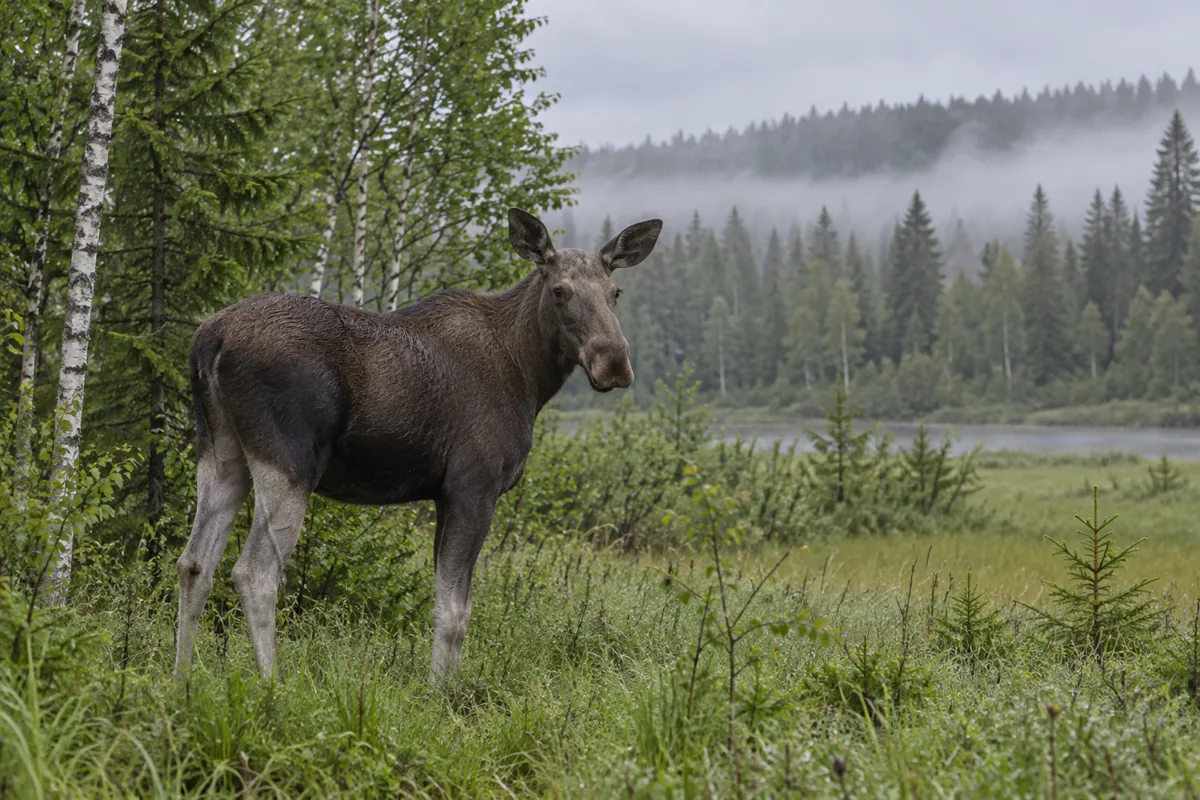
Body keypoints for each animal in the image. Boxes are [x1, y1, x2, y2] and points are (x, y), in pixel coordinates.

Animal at [174, 208, 662, 684]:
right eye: (560, 291)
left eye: (615, 291)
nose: (614, 362)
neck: (529, 375)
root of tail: (209, 340)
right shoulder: (473, 488)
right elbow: (456, 613)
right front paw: (444, 694)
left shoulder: (443, 496)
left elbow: (443, 604)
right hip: (289, 462)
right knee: (254, 572)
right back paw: (272, 686)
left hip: (220, 453)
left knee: (194, 563)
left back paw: (182, 681)